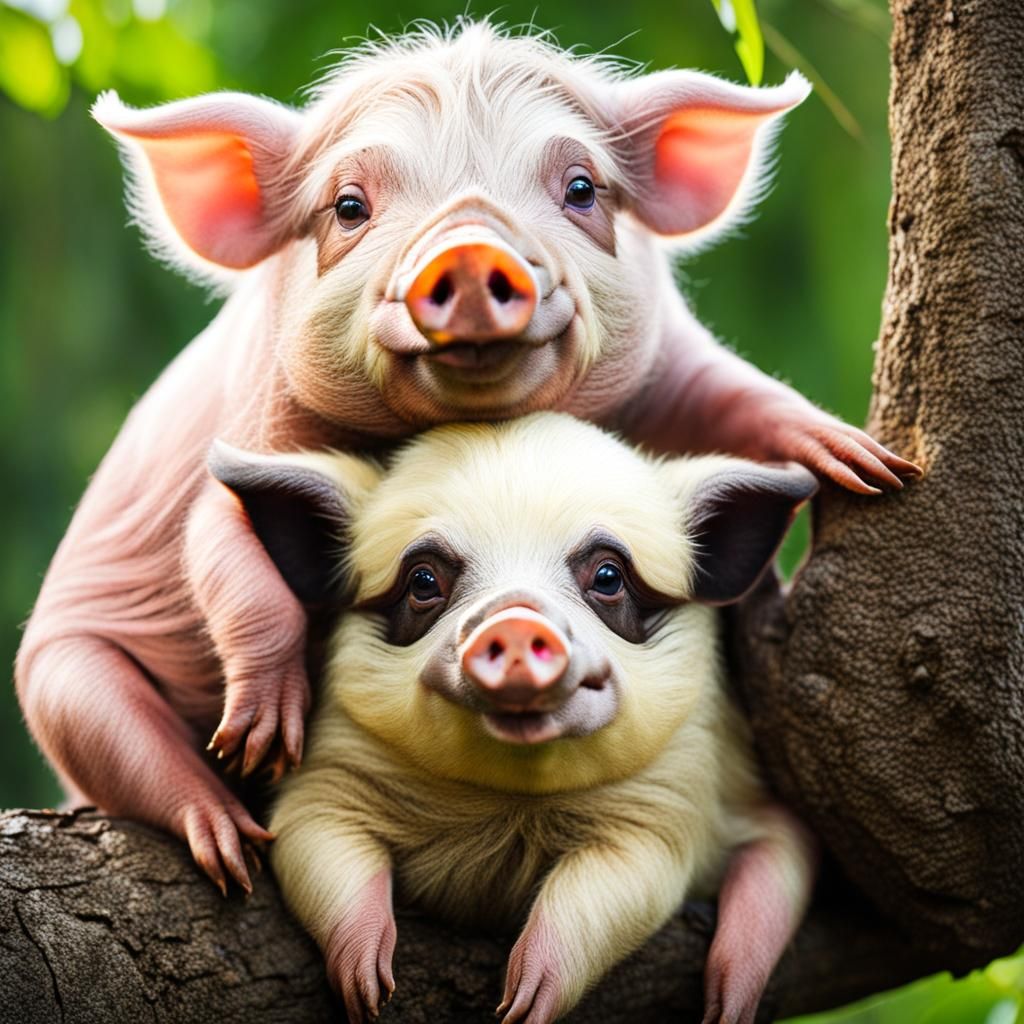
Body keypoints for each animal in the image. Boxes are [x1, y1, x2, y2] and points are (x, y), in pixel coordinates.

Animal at [15, 20, 917, 895]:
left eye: (581, 189)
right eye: (349, 206)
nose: (473, 251)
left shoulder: (669, 363)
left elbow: (735, 396)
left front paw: (871, 465)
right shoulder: (259, 423)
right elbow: (224, 540)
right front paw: (265, 737)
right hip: (60, 680)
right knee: (123, 746)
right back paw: (231, 843)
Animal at [208, 412, 818, 1024]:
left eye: (607, 576)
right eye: (424, 581)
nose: (518, 617)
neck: (511, 801)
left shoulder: (667, 802)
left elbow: (614, 889)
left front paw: (520, 1008)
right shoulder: (330, 771)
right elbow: (313, 843)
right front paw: (368, 994)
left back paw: (728, 1003)